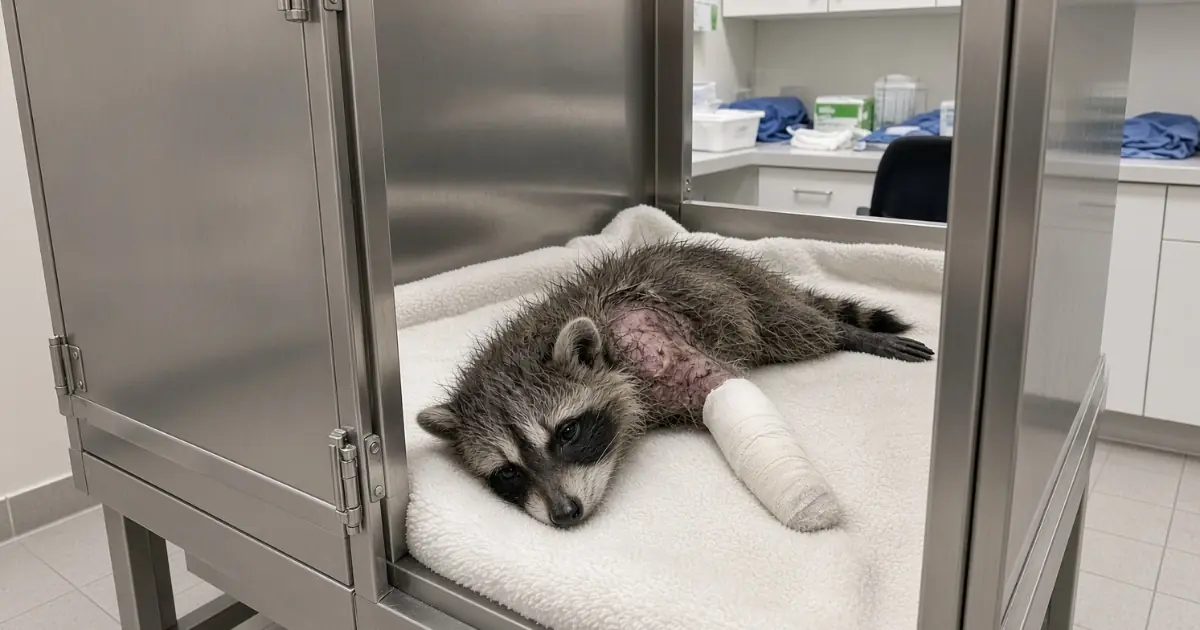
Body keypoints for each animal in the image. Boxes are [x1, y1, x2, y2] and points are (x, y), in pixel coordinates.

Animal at [417, 241, 933, 528]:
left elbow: (718, 383)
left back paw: (847, 332)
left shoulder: (656, 346)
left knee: (797, 327)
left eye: (567, 433)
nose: (564, 515)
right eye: (508, 473)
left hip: (751, 296)